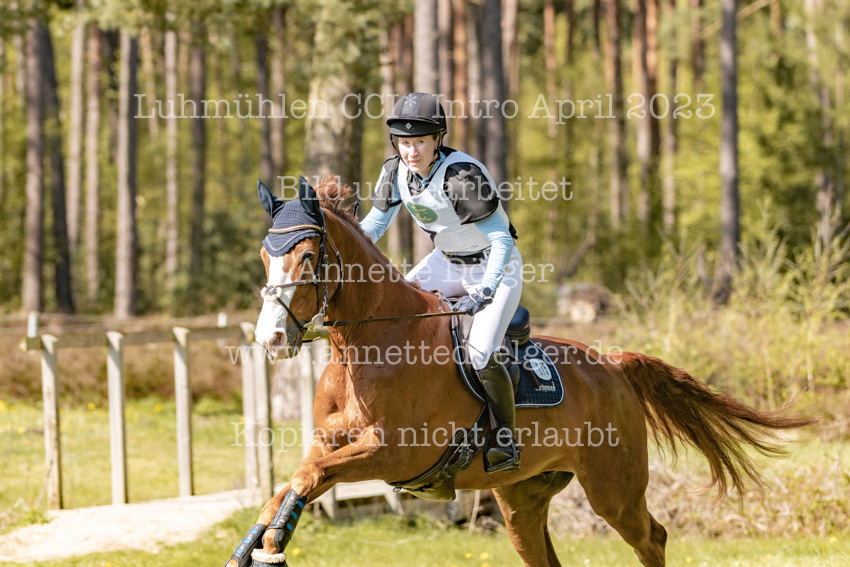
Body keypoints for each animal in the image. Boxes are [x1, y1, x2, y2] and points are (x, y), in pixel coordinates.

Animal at [224, 176, 814, 567]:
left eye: (306, 257)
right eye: (265, 255)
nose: (270, 338)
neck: (371, 345)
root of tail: (614, 367)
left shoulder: (395, 453)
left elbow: (306, 478)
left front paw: (273, 544)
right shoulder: (330, 442)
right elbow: (293, 481)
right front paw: (257, 542)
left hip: (614, 490)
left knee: (652, 538)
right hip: (522, 500)